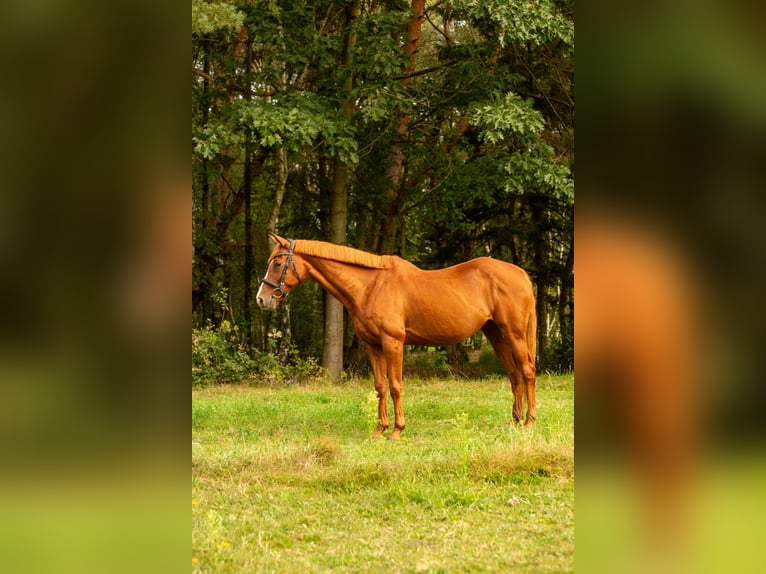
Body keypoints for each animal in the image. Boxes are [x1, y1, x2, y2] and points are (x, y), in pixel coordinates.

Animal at [255, 234, 536, 440]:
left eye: (277, 264)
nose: (261, 299)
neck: (371, 286)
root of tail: (520, 273)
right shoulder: (373, 346)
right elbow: (380, 387)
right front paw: (379, 429)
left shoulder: (393, 344)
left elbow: (395, 386)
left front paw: (397, 431)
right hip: (496, 336)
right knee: (514, 376)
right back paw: (514, 421)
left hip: (514, 335)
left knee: (527, 372)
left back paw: (529, 423)